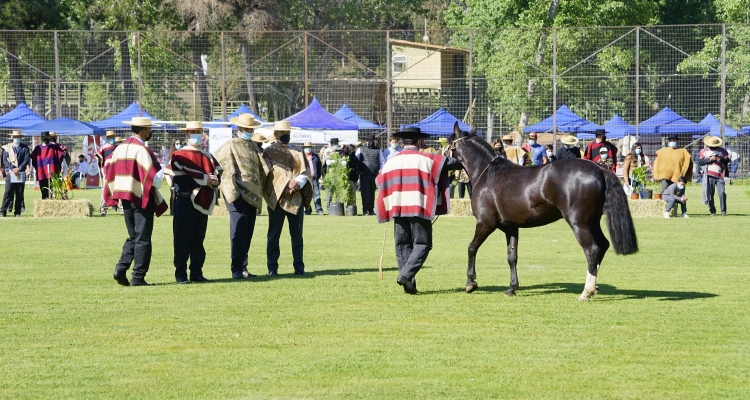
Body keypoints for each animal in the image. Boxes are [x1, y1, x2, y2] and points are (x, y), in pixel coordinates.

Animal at [450, 123, 636, 302]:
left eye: (449, 142)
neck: (488, 174)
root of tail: (599, 169)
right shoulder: (511, 227)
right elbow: (512, 256)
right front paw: (512, 288)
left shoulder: (485, 223)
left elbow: (472, 248)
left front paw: (470, 283)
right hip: (592, 222)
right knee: (603, 245)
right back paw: (594, 287)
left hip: (579, 223)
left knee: (592, 250)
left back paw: (586, 292)